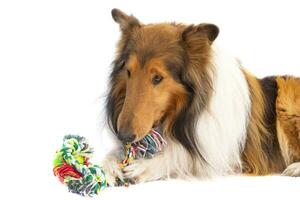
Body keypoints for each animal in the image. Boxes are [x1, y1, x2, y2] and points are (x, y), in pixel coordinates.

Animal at [101, 9, 300, 184]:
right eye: (129, 72)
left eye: (157, 78)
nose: (123, 135)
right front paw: (109, 166)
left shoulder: (222, 155)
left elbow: (183, 158)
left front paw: (145, 166)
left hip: (286, 94)